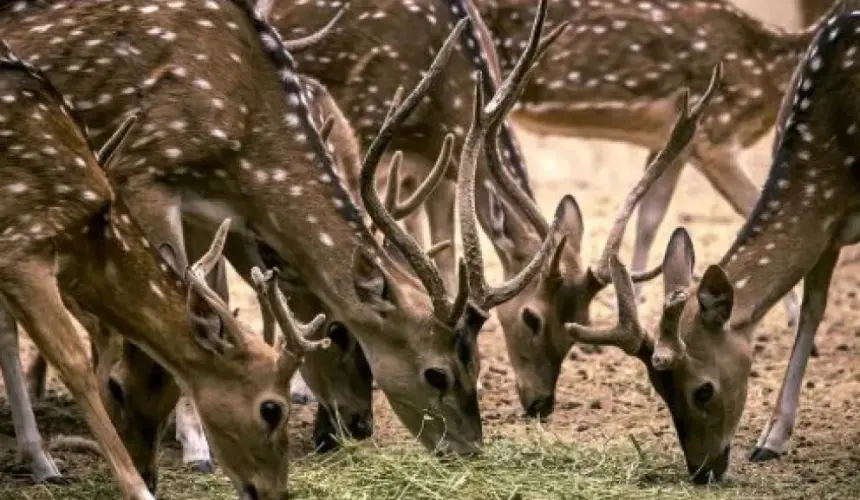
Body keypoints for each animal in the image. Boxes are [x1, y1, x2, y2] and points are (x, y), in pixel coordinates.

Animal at [0, 39, 340, 500]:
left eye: (173, 394)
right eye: (271, 409)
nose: (274, 492)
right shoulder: (20, 243)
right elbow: (74, 363)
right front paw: (131, 489)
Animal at [560, 2, 860, 480]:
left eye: (703, 390)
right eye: (658, 388)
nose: (701, 471)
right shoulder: (829, 224)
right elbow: (812, 311)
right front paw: (771, 440)